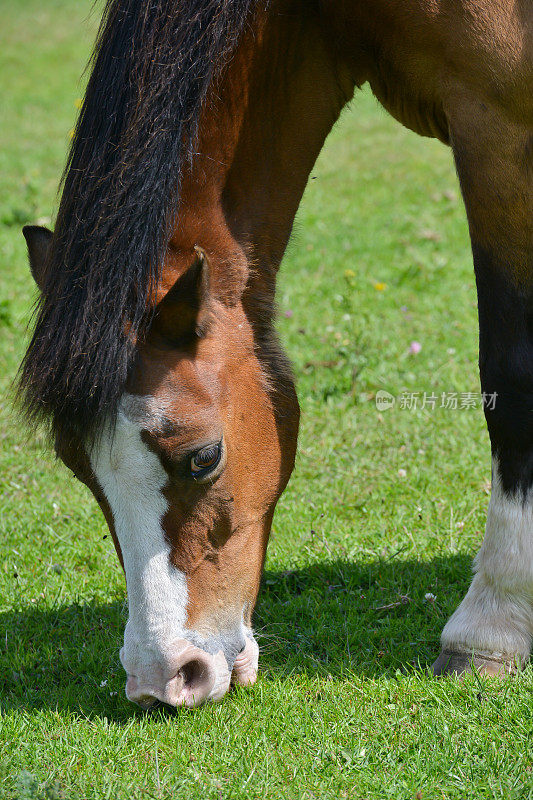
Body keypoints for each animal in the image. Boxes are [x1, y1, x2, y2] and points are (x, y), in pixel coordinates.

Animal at [18, 0, 532, 704]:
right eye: (78, 467)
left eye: (203, 458)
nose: (163, 677)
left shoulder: (501, 127)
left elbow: (511, 376)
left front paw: (495, 622)